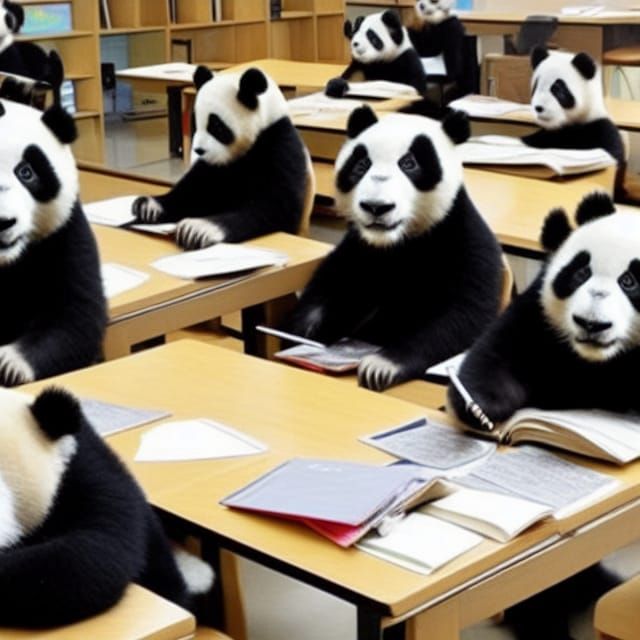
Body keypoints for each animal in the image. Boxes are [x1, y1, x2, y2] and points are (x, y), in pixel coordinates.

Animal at [132, 66, 309, 250]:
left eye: (216, 126)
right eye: (194, 123)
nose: (199, 150)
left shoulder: (278, 146)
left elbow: (276, 206)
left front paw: (199, 229)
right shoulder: (212, 167)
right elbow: (194, 191)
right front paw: (149, 207)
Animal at [284, 106, 502, 391]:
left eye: (409, 164)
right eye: (361, 165)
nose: (376, 207)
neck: (395, 243)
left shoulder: (462, 240)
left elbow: (463, 315)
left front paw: (381, 366)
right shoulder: (357, 249)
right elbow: (325, 291)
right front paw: (302, 334)